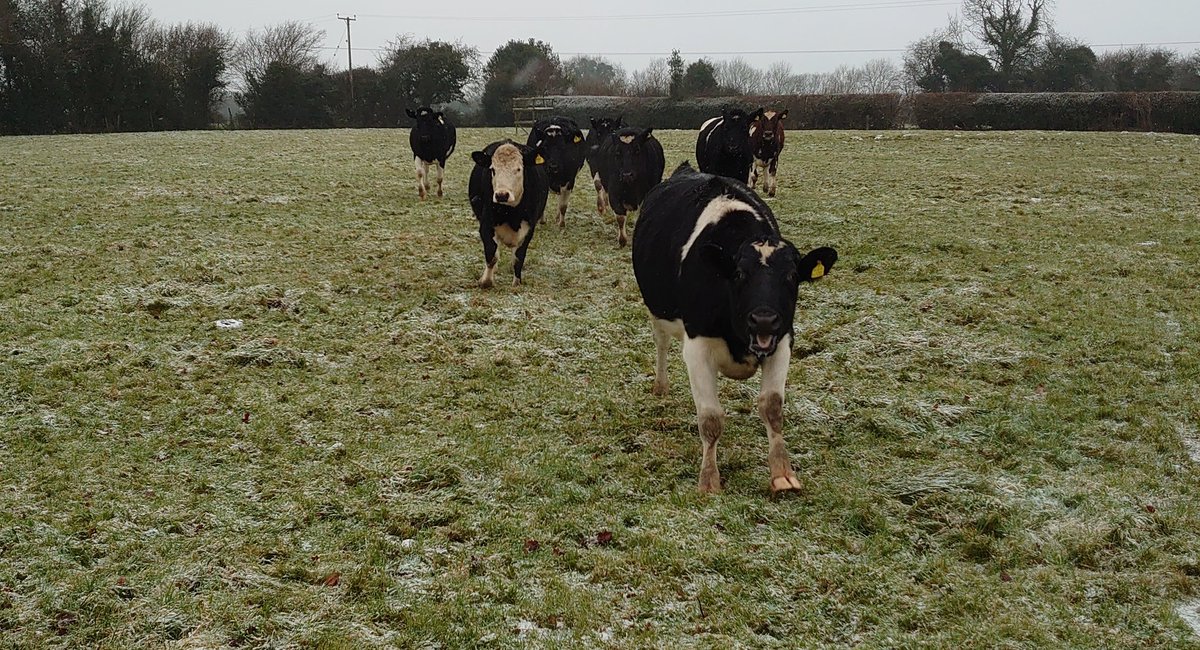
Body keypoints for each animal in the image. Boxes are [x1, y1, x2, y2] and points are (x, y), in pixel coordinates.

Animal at [468, 140, 549, 288]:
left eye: (518, 169)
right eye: (493, 169)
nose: (501, 195)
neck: (510, 214)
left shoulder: (529, 229)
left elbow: (519, 258)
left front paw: (516, 283)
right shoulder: (486, 225)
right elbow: (491, 254)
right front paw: (486, 281)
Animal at [631, 162, 838, 495]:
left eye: (793, 276)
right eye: (739, 274)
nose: (764, 319)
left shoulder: (783, 341)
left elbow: (772, 407)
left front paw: (783, 473)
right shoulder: (697, 347)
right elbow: (710, 419)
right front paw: (709, 480)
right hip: (655, 308)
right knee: (661, 343)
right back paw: (660, 386)